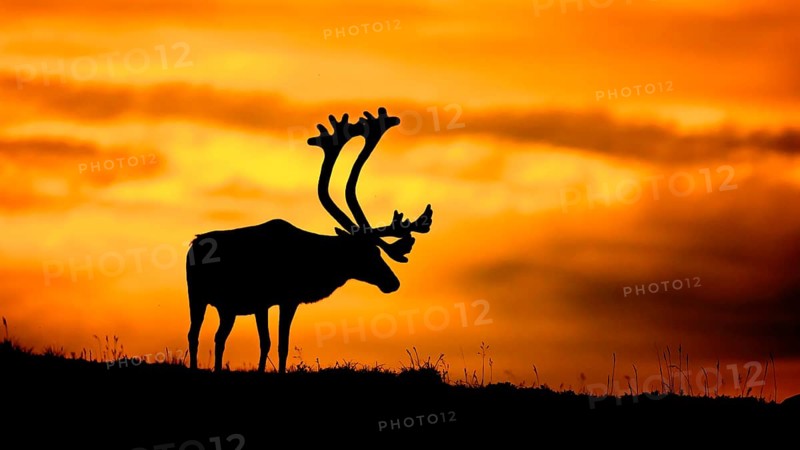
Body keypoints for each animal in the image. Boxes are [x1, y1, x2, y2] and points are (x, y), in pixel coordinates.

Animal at [186, 107, 433, 373]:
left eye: (378, 251)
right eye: (366, 253)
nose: (393, 282)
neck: (314, 263)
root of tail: (192, 245)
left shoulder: (274, 302)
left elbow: (271, 343)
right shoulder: (278, 298)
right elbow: (277, 343)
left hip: (223, 306)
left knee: (212, 336)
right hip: (198, 296)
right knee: (199, 335)